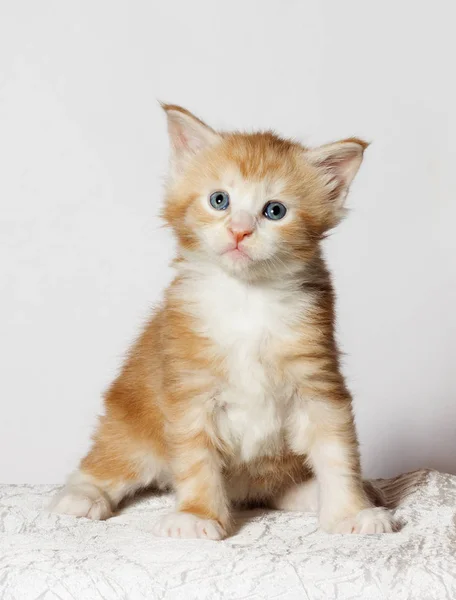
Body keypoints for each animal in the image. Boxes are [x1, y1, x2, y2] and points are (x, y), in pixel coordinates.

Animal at [50, 104, 396, 540]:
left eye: (275, 211)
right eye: (220, 200)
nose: (239, 231)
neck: (247, 298)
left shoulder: (318, 382)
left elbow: (338, 454)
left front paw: (352, 512)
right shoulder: (189, 390)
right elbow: (196, 461)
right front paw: (197, 516)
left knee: (272, 488)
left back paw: (317, 493)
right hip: (129, 423)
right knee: (108, 461)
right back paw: (81, 495)